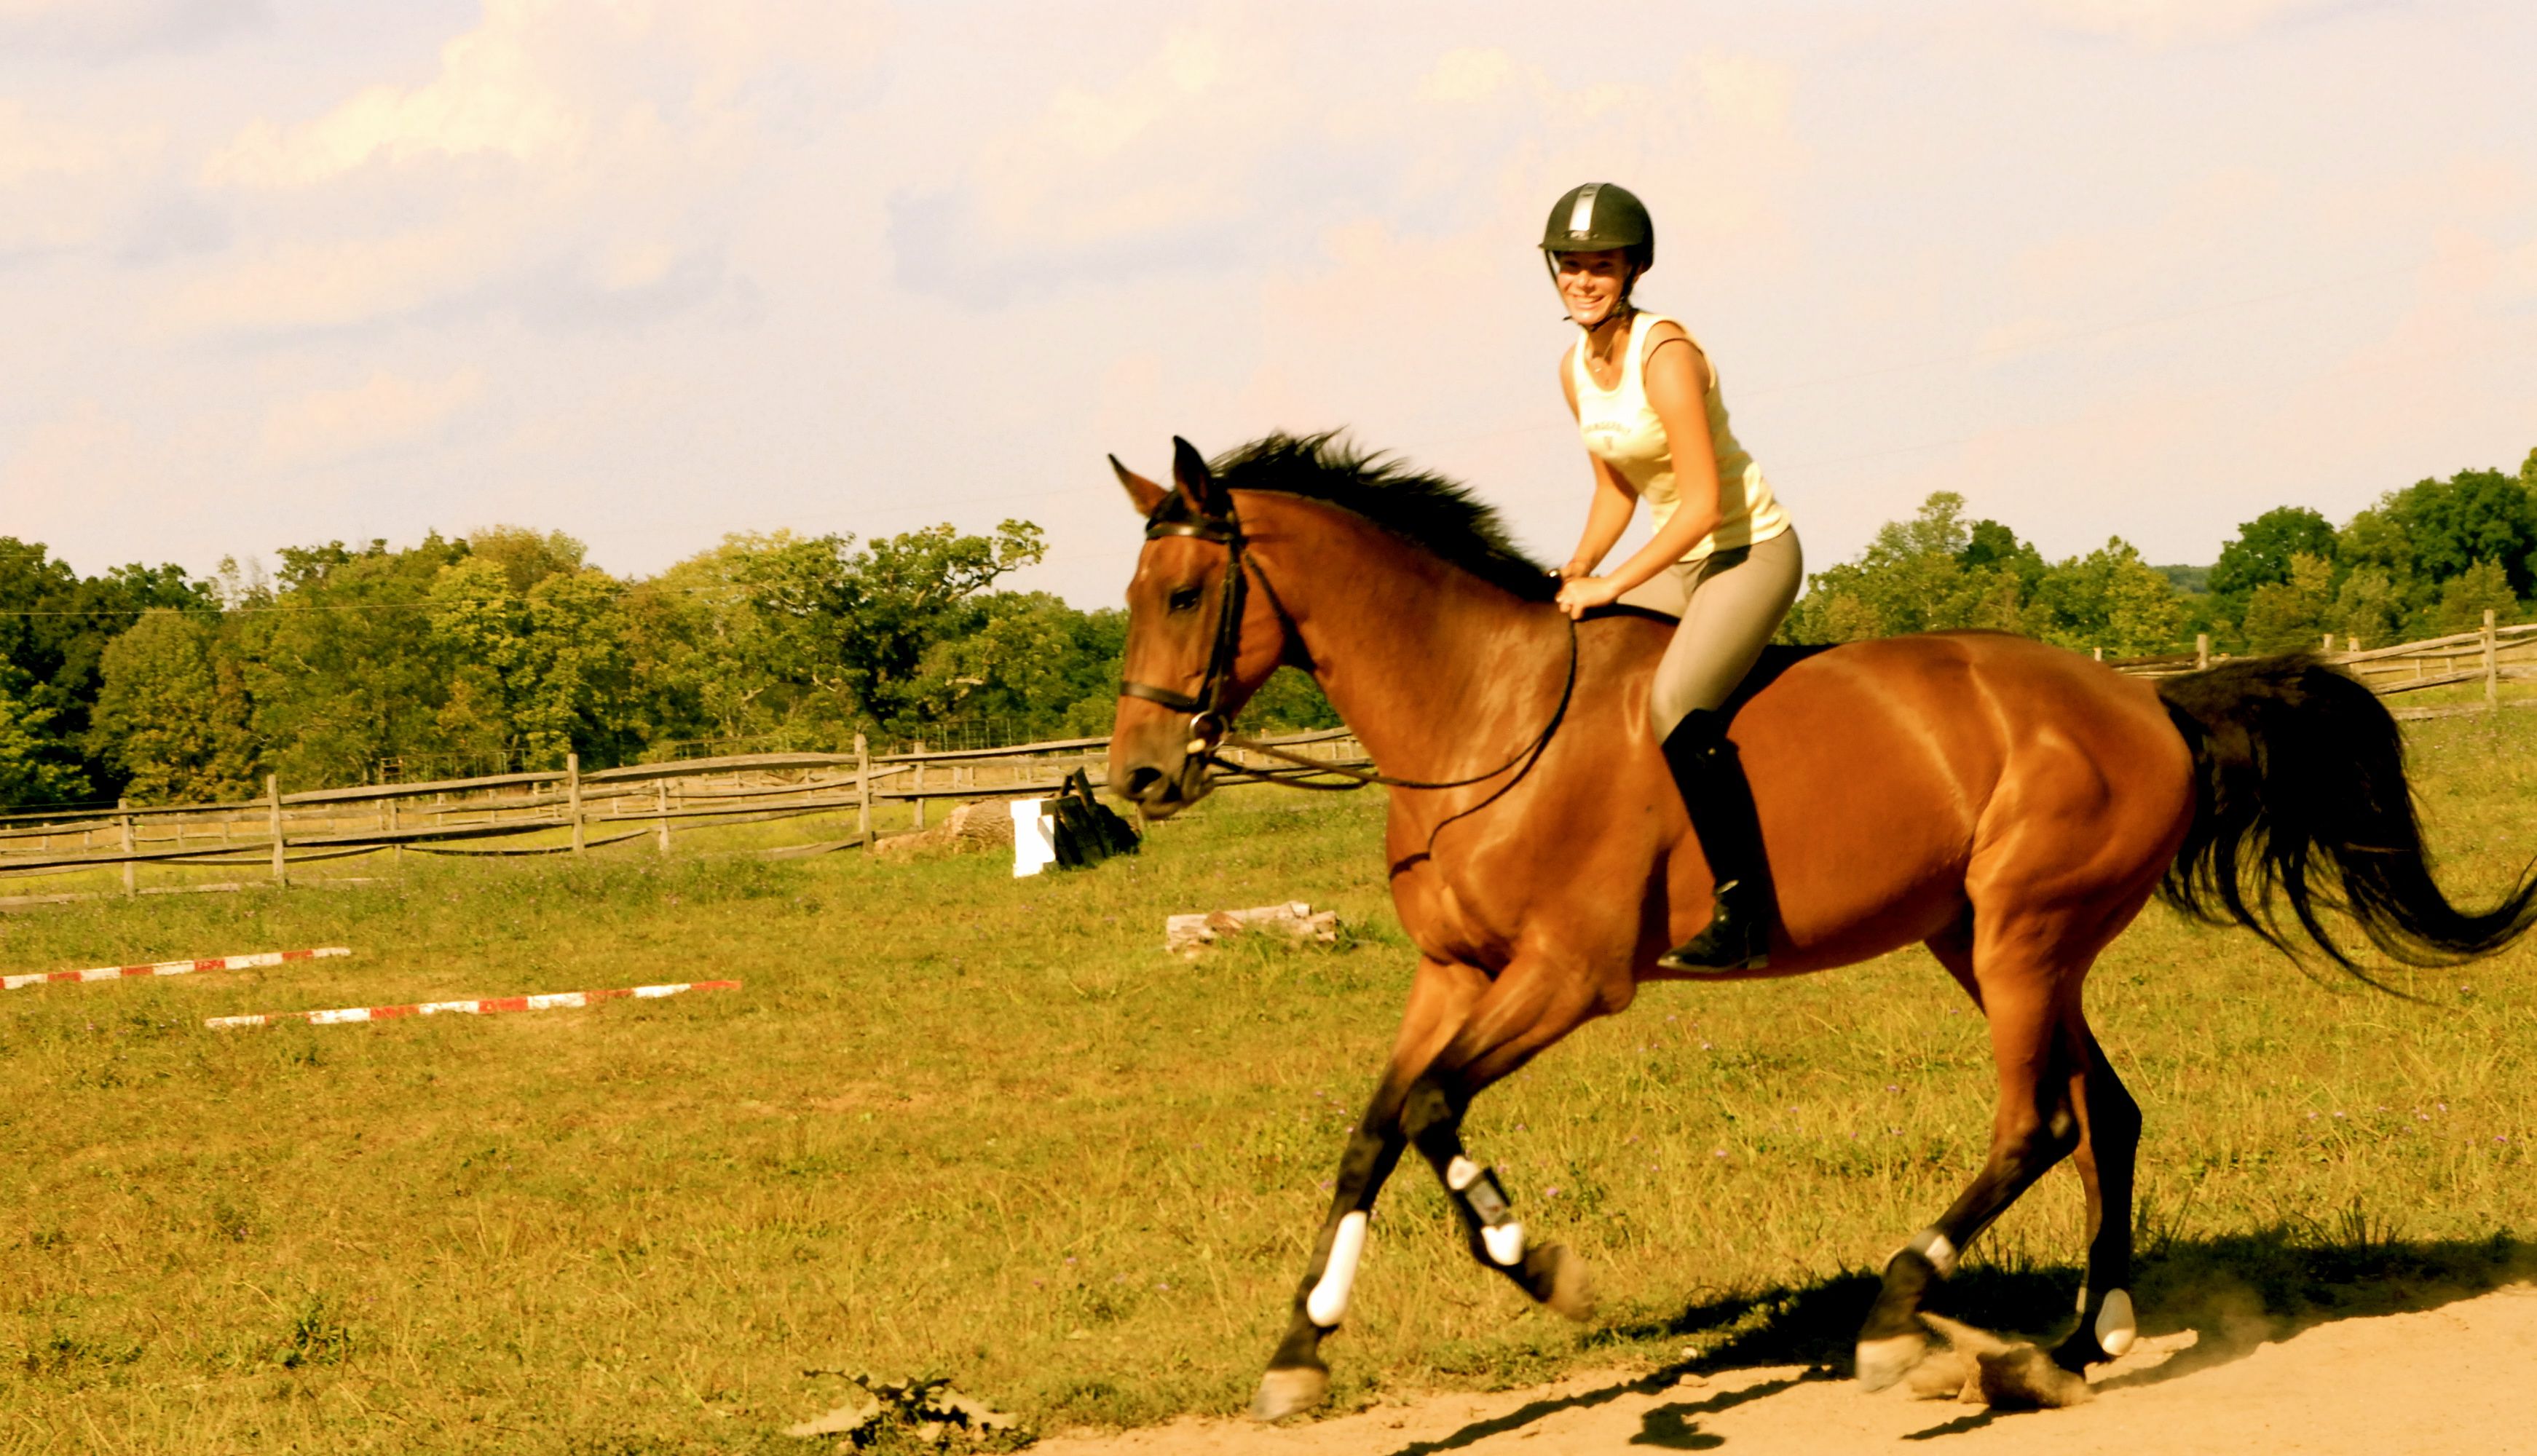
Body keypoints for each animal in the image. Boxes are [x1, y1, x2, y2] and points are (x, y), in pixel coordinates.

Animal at [1101, 433, 2527, 1431]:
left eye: (1182, 594)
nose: (1137, 781)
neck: (1483, 717)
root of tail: (2147, 703)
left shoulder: (1569, 978)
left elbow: (1428, 1111)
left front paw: (1532, 1261)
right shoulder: (1453, 975)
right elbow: (1381, 1127)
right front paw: (1303, 1352)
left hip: (2020, 938)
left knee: (2039, 1123)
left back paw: (1903, 1322)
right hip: (1990, 942)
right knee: (2104, 1113)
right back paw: (2073, 1347)